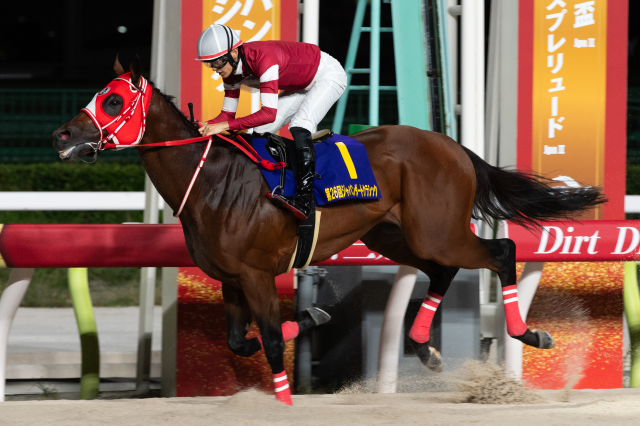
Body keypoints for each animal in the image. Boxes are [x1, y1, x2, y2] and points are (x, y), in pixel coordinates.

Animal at [53, 56, 605, 403]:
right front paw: (313, 314)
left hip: (438, 232)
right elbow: (240, 342)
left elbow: (270, 342)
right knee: (443, 272)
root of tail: (454, 147)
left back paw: (528, 332)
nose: (61, 135)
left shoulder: (256, 274)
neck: (211, 180)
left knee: (503, 250)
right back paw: (424, 348)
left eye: (111, 101)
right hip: (395, 235)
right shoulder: (230, 279)